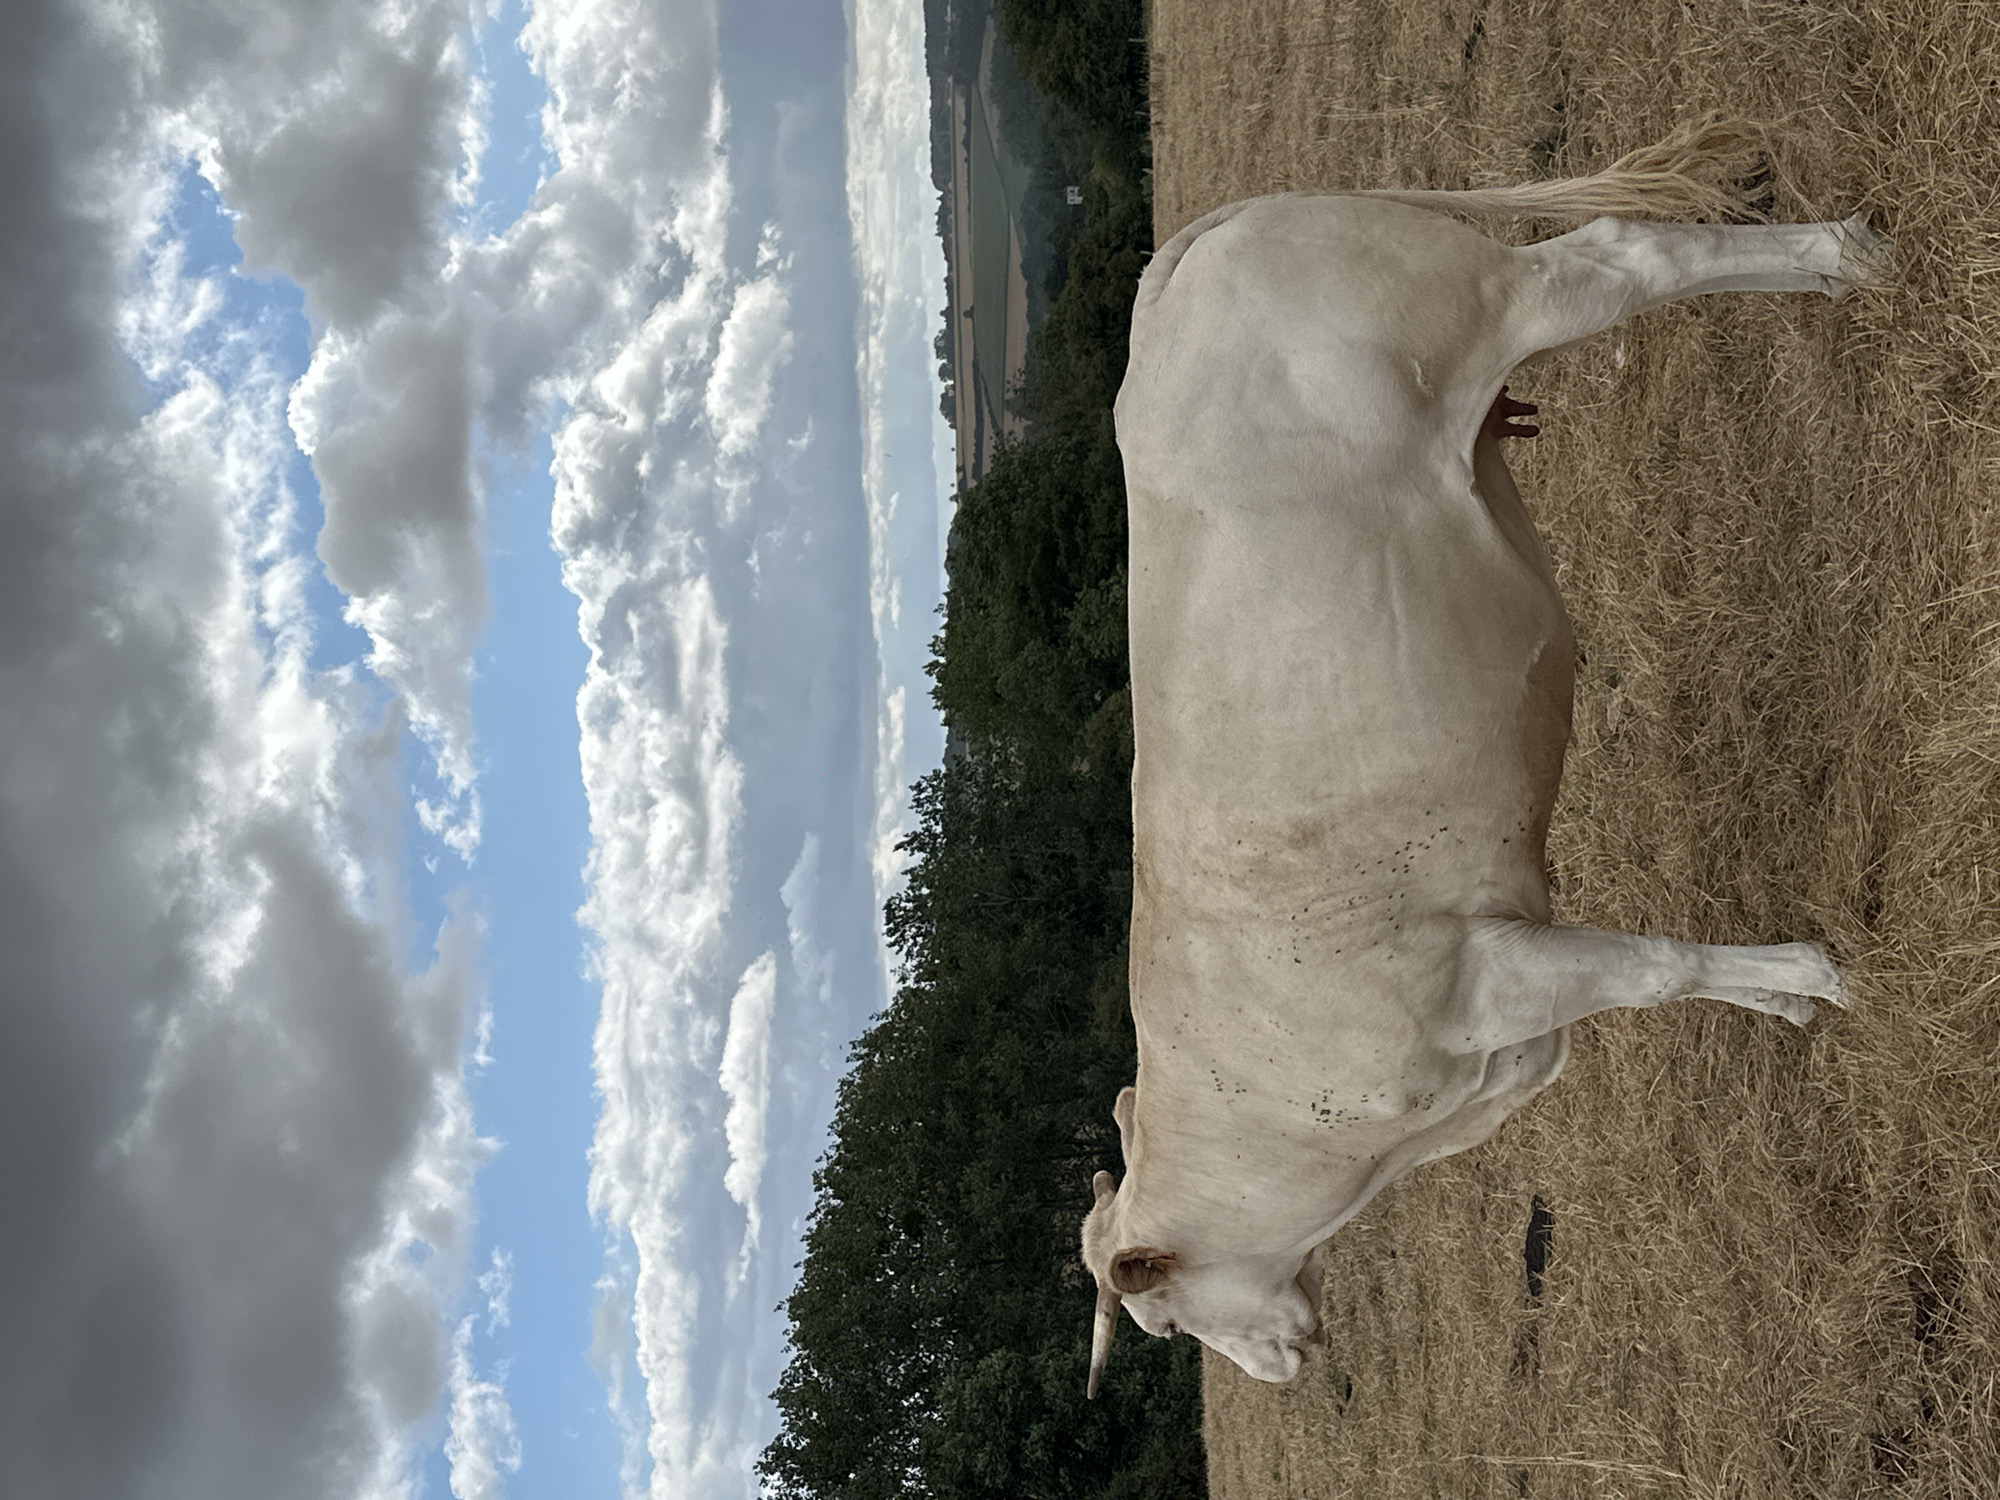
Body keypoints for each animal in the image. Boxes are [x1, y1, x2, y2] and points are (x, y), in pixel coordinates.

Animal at [1081, 137, 1887, 1395]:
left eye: (1163, 1323)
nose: (1281, 1370)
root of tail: (1176, 270)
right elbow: (1681, 978)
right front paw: (1784, 996)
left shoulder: (1484, 974)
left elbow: (1656, 969)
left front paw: (1818, 975)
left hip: (1487, 304)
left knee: (1620, 257)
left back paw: (1847, 260)